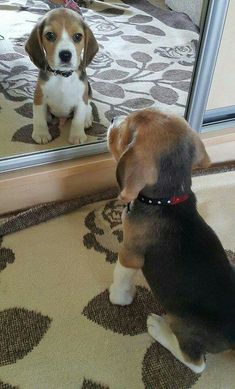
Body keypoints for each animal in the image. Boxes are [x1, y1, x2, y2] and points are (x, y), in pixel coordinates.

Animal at [25, 7, 98, 144]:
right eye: (50, 35)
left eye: (78, 36)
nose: (65, 54)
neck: (63, 76)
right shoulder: (39, 97)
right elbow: (39, 117)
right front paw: (41, 133)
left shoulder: (81, 99)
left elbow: (77, 119)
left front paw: (77, 135)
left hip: (88, 91)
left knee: (89, 106)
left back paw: (87, 119)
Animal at [108, 108, 235, 372]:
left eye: (126, 130)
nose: (113, 119)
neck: (167, 201)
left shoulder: (130, 253)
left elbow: (121, 275)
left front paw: (118, 297)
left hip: (182, 324)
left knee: (196, 363)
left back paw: (158, 329)